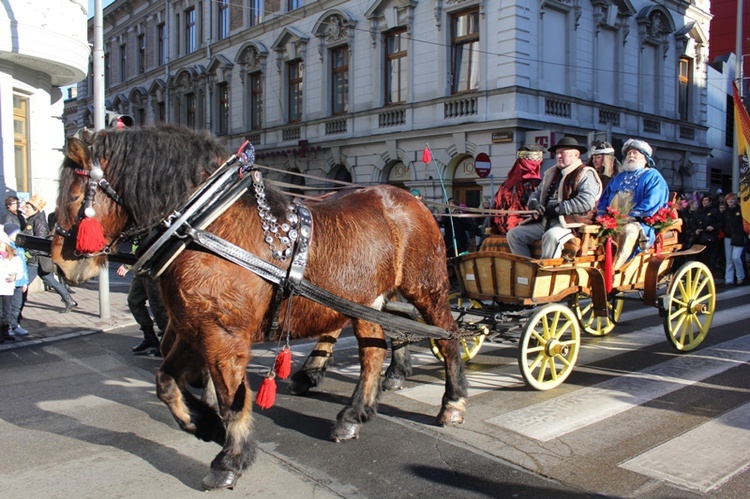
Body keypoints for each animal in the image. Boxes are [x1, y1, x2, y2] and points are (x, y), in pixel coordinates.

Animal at [51, 126, 470, 492]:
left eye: (71, 196)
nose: (59, 264)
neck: (206, 224)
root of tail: (411, 198)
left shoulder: (224, 336)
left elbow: (233, 398)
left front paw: (230, 459)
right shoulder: (192, 329)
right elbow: (166, 383)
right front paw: (204, 424)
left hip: (427, 288)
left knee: (447, 337)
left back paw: (451, 402)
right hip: (365, 301)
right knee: (372, 352)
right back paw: (354, 413)